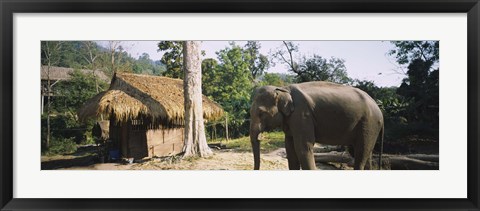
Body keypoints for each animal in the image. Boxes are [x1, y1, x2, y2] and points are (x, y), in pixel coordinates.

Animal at [249, 81, 384, 170]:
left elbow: (303, 147)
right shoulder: (292, 120)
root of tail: (380, 111)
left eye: (261, 113)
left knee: (360, 152)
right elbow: (290, 147)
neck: (283, 89)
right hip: (369, 126)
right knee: (365, 153)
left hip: (369, 124)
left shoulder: (302, 115)